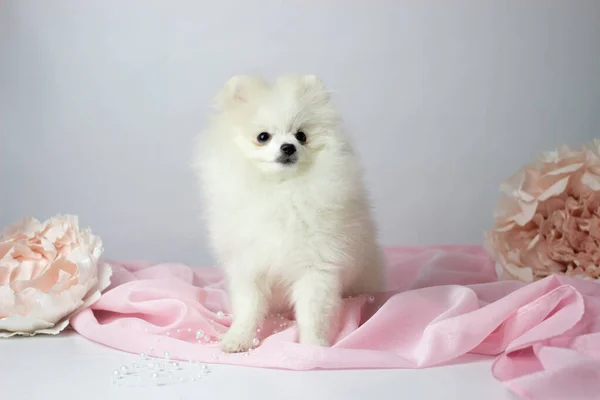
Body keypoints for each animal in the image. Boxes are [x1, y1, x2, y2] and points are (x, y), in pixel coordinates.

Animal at [195, 75, 386, 354]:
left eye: (301, 135)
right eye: (263, 137)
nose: (288, 147)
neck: (283, 190)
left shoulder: (317, 267)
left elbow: (313, 314)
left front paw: (313, 345)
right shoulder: (248, 265)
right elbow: (248, 308)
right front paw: (238, 338)